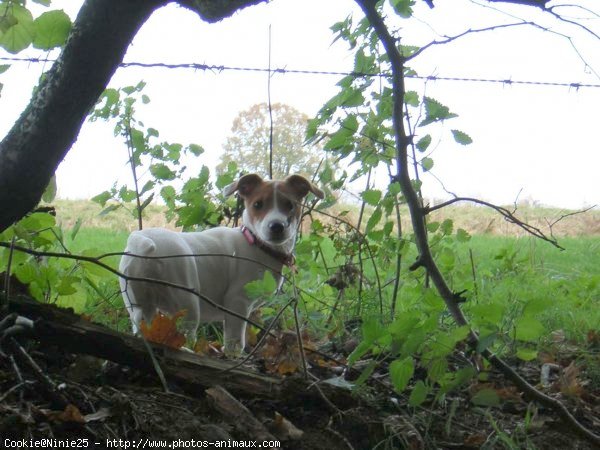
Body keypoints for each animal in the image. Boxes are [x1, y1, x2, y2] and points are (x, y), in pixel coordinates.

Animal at [118, 174, 324, 354]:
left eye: (290, 205)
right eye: (257, 205)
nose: (276, 226)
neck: (257, 244)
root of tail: (141, 241)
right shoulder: (237, 303)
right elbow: (235, 341)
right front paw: (234, 357)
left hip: (139, 305)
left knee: (144, 328)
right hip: (187, 303)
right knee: (184, 333)